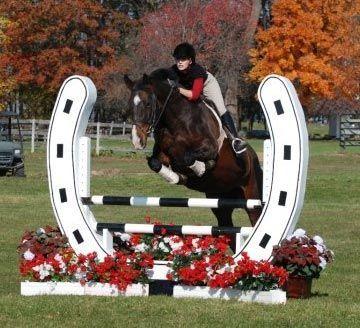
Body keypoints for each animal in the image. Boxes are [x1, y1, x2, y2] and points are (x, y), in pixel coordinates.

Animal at [123, 69, 262, 228]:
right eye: (130, 105)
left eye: (147, 104)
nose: (137, 140)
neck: (177, 120)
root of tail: (253, 156)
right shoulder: (163, 154)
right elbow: (155, 162)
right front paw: (176, 177)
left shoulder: (210, 148)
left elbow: (187, 157)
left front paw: (201, 167)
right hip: (220, 201)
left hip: (252, 198)